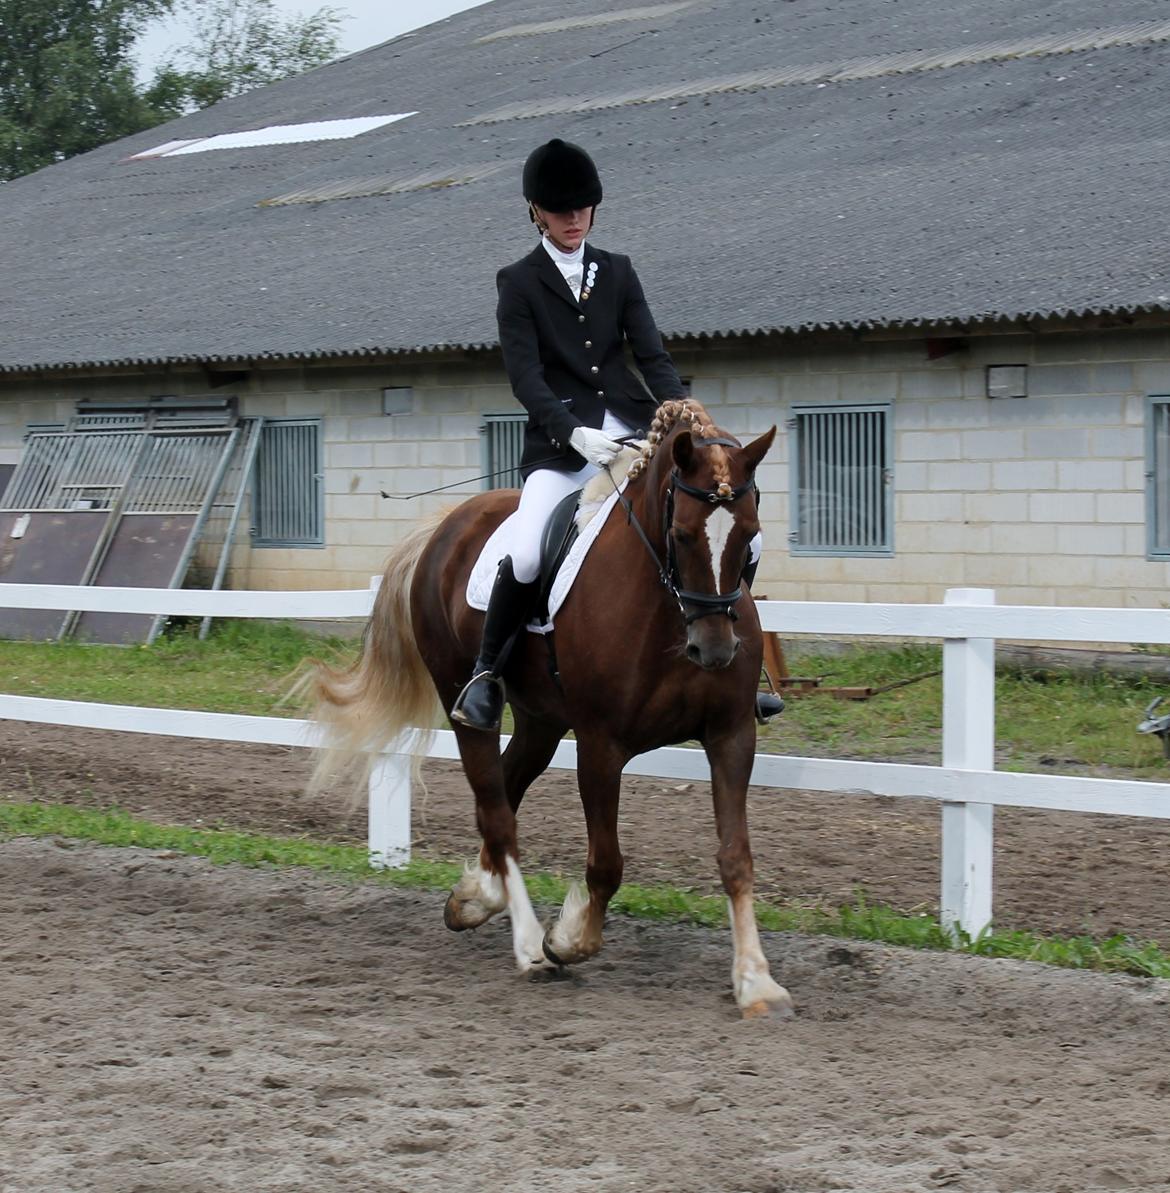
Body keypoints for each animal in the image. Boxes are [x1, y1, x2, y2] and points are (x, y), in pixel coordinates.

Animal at [317, 400, 796, 1016]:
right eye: (682, 534)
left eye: (750, 535)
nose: (713, 651)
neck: (668, 610)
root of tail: (446, 524)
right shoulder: (600, 744)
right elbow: (606, 863)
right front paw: (568, 939)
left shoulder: (731, 734)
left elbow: (736, 856)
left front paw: (757, 981)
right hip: (464, 702)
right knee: (497, 811)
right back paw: (527, 946)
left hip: (541, 723)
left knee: (504, 792)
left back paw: (475, 897)